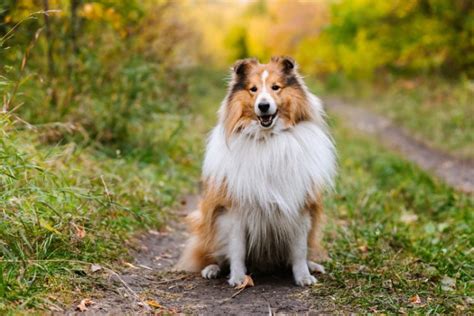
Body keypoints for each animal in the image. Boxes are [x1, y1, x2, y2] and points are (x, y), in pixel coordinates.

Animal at [178, 56, 336, 286]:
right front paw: (237, 278)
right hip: (207, 220)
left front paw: (303, 276)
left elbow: (299, 250)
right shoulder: (234, 210)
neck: (267, 138)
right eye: (253, 89)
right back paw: (212, 269)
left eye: (275, 87)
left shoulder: (300, 206)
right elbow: (237, 249)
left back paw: (313, 265)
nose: (263, 106)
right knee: (211, 254)